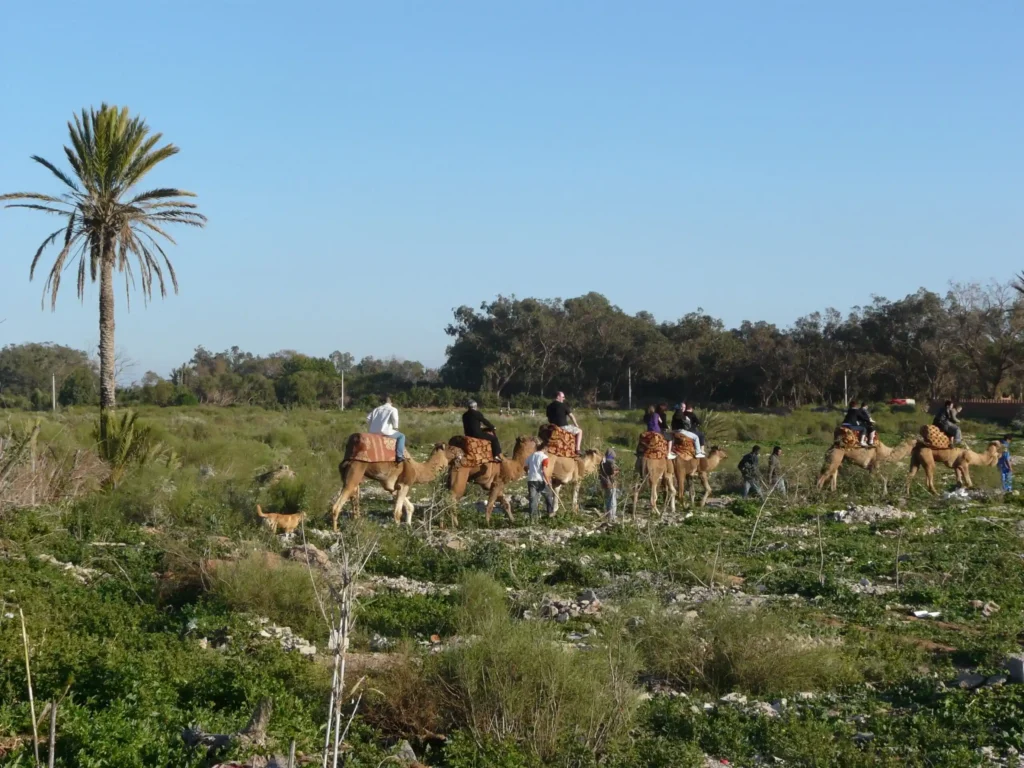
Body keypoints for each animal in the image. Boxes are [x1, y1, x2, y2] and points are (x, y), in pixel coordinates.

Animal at [328, 442, 458, 529]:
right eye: (451, 448)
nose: (460, 452)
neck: (417, 470)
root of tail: (346, 462)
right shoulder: (405, 484)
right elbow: (397, 512)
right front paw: (397, 530)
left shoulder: (392, 486)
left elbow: (410, 507)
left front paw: (408, 525)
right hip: (353, 477)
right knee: (336, 506)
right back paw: (336, 531)